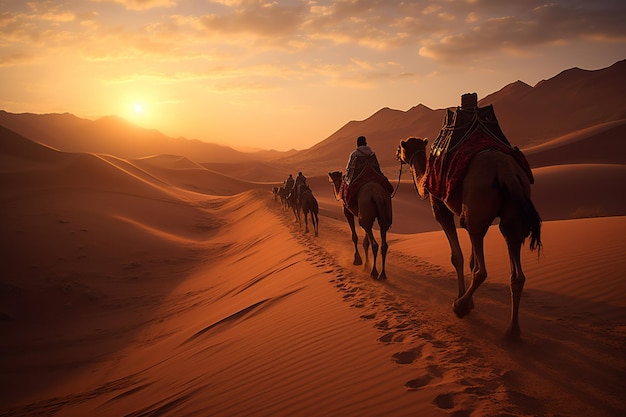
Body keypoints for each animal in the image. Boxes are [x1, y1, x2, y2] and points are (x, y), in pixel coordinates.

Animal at [398, 136, 540, 338]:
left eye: (402, 148)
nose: (397, 154)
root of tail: (507, 172)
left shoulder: (441, 208)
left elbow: (457, 257)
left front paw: (463, 299)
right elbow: (473, 261)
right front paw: (469, 300)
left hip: (476, 210)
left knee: (482, 271)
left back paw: (459, 307)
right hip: (511, 214)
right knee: (516, 270)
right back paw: (512, 331)